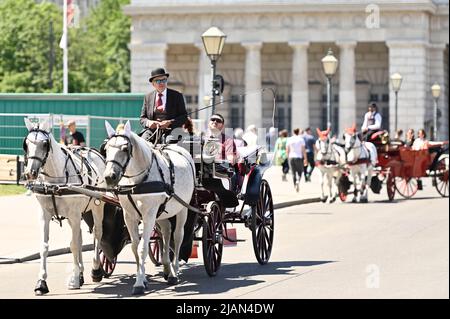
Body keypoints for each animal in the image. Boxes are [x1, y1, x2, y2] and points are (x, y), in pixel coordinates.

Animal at [23, 119, 107, 296]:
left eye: (44, 144)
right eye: (26, 144)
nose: (31, 172)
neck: (55, 182)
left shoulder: (74, 214)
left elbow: (73, 245)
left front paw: (74, 279)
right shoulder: (45, 215)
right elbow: (44, 246)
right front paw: (41, 282)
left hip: (97, 207)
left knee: (97, 233)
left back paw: (95, 270)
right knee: (80, 236)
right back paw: (81, 273)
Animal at [103, 121, 195, 296]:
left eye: (125, 148)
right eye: (106, 149)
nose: (109, 177)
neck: (137, 182)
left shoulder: (148, 215)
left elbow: (142, 248)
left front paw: (139, 283)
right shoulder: (129, 216)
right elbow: (134, 247)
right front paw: (143, 279)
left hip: (182, 209)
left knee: (178, 236)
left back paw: (175, 271)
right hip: (162, 213)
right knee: (166, 232)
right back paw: (167, 269)